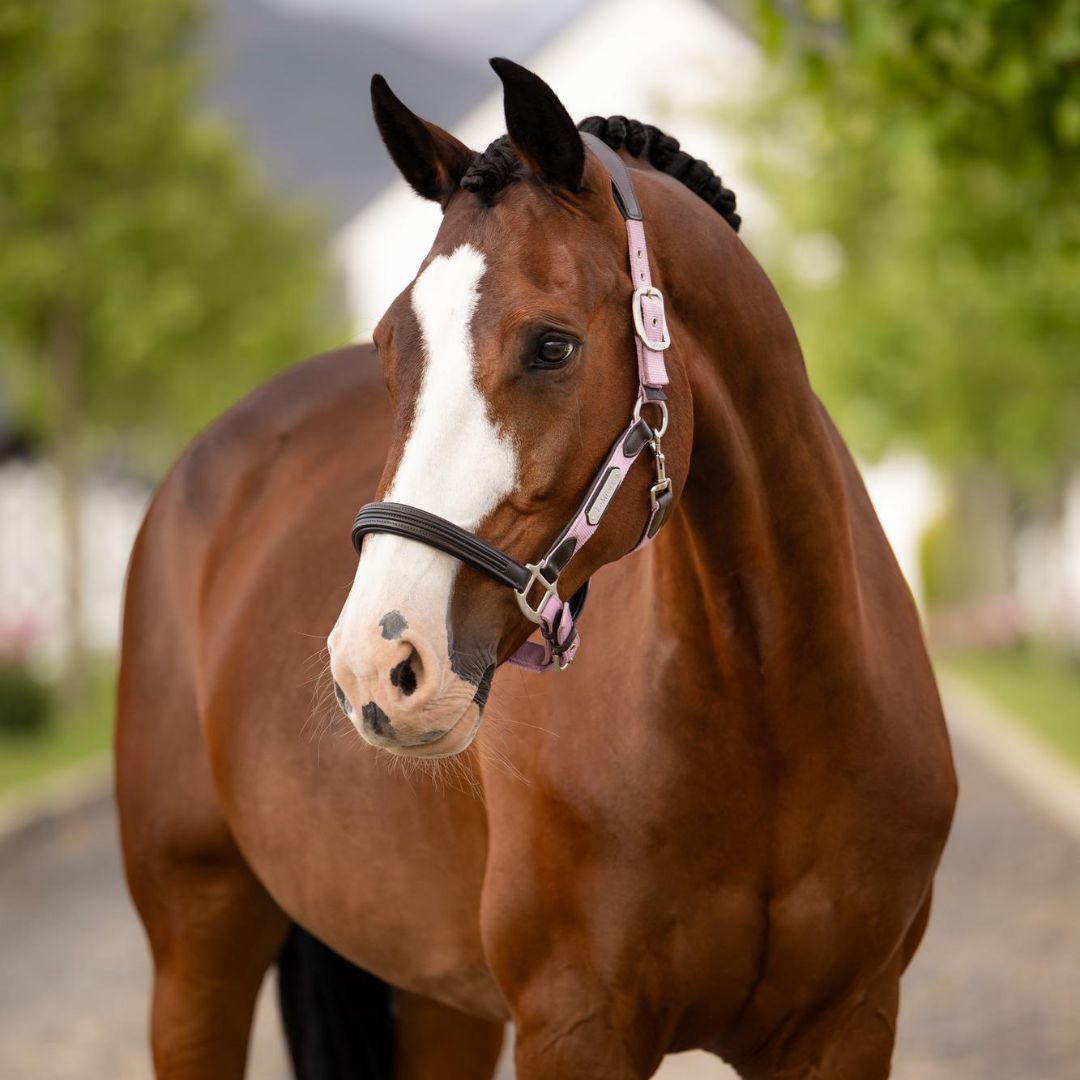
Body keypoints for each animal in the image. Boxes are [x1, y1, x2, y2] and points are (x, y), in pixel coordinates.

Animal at [116, 59, 957, 1079]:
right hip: (196, 946)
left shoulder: (850, 1024)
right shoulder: (575, 1027)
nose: (377, 666)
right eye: (390, 348)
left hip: (438, 1000)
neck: (774, 706)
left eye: (552, 344)